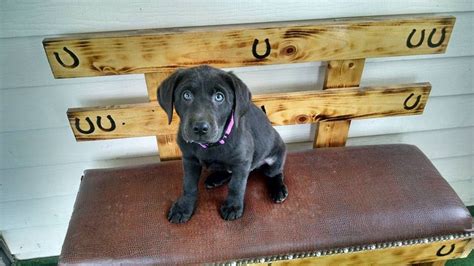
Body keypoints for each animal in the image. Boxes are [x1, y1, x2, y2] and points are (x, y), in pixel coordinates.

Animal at [157, 65, 286, 222]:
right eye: (186, 95)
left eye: (219, 97)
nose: (200, 128)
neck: (211, 146)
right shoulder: (189, 159)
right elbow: (189, 185)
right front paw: (183, 207)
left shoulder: (242, 162)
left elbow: (236, 186)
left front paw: (233, 206)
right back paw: (216, 178)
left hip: (275, 155)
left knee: (274, 173)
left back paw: (278, 189)